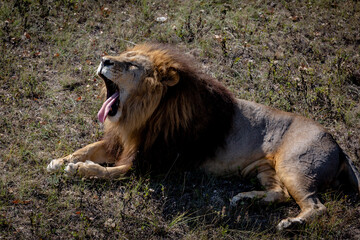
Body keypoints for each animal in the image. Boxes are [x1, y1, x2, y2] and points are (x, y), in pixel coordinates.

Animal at [47, 43, 360, 231]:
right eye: (122, 56)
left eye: (131, 65)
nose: (104, 59)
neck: (140, 113)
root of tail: (338, 145)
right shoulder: (123, 143)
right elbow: (88, 148)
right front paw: (60, 160)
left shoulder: (152, 163)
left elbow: (111, 172)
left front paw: (79, 169)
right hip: (265, 169)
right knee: (280, 193)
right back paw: (245, 200)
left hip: (295, 166)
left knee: (316, 206)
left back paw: (292, 224)